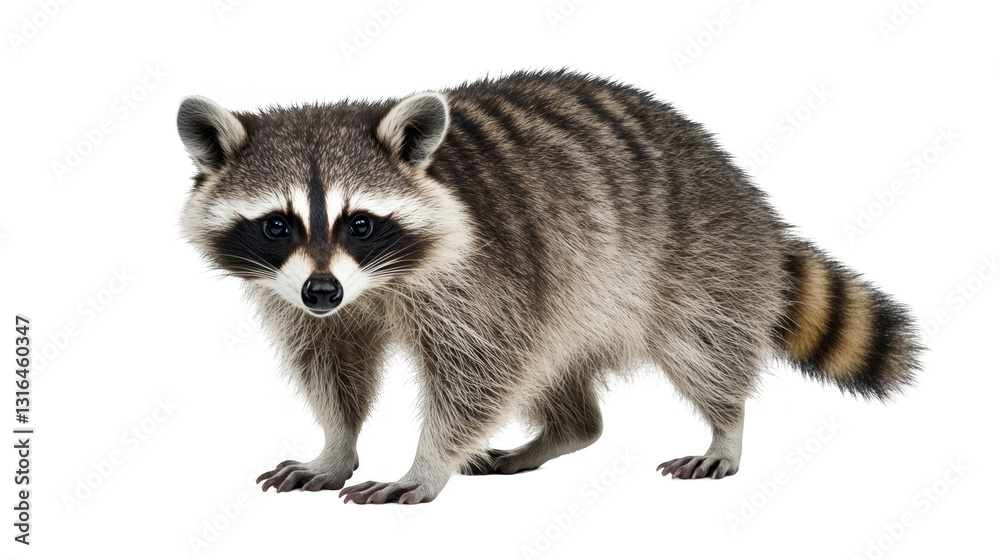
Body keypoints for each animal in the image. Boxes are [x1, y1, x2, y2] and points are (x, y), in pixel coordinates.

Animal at [177, 70, 921, 504]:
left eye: (360, 222)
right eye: (276, 225)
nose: (323, 293)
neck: (373, 284)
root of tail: (747, 193)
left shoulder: (485, 276)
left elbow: (478, 370)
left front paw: (426, 462)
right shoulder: (298, 293)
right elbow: (333, 363)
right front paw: (336, 446)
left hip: (700, 259)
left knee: (702, 346)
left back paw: (726, 427)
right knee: (559, 376)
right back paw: (561, 432)